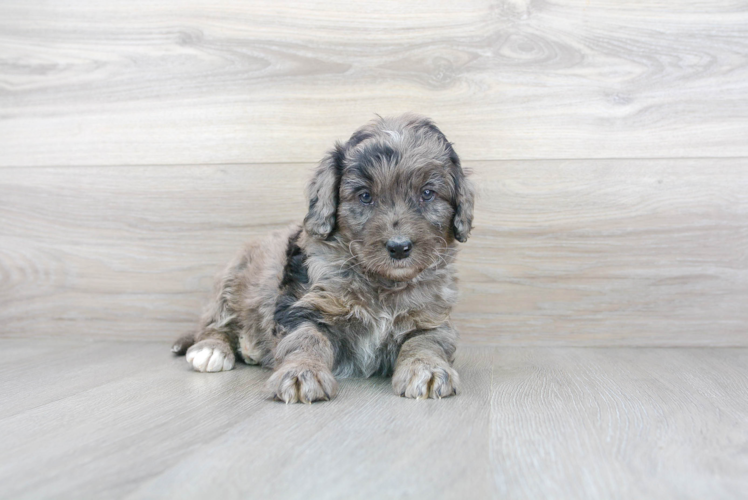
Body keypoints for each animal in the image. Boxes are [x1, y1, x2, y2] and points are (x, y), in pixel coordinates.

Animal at [171, 113, 474, 402]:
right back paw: (211, 349)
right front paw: (301, 373)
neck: (381, 282)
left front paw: (428, 369)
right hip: (232, 279)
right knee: (214, 322)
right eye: (365, 196)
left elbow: (425, 343)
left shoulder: (432, 319)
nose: (399, 248)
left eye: (427, 194)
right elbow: (306, 340)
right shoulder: (303, 308)